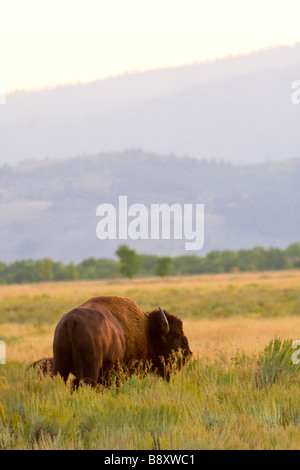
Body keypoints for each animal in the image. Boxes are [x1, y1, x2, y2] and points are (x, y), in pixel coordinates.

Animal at [52, 296, 191, 388]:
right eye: (175, 336)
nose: (188, 354)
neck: (146, 332)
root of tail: (71, 320)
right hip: (91, 367)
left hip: (60, 365)